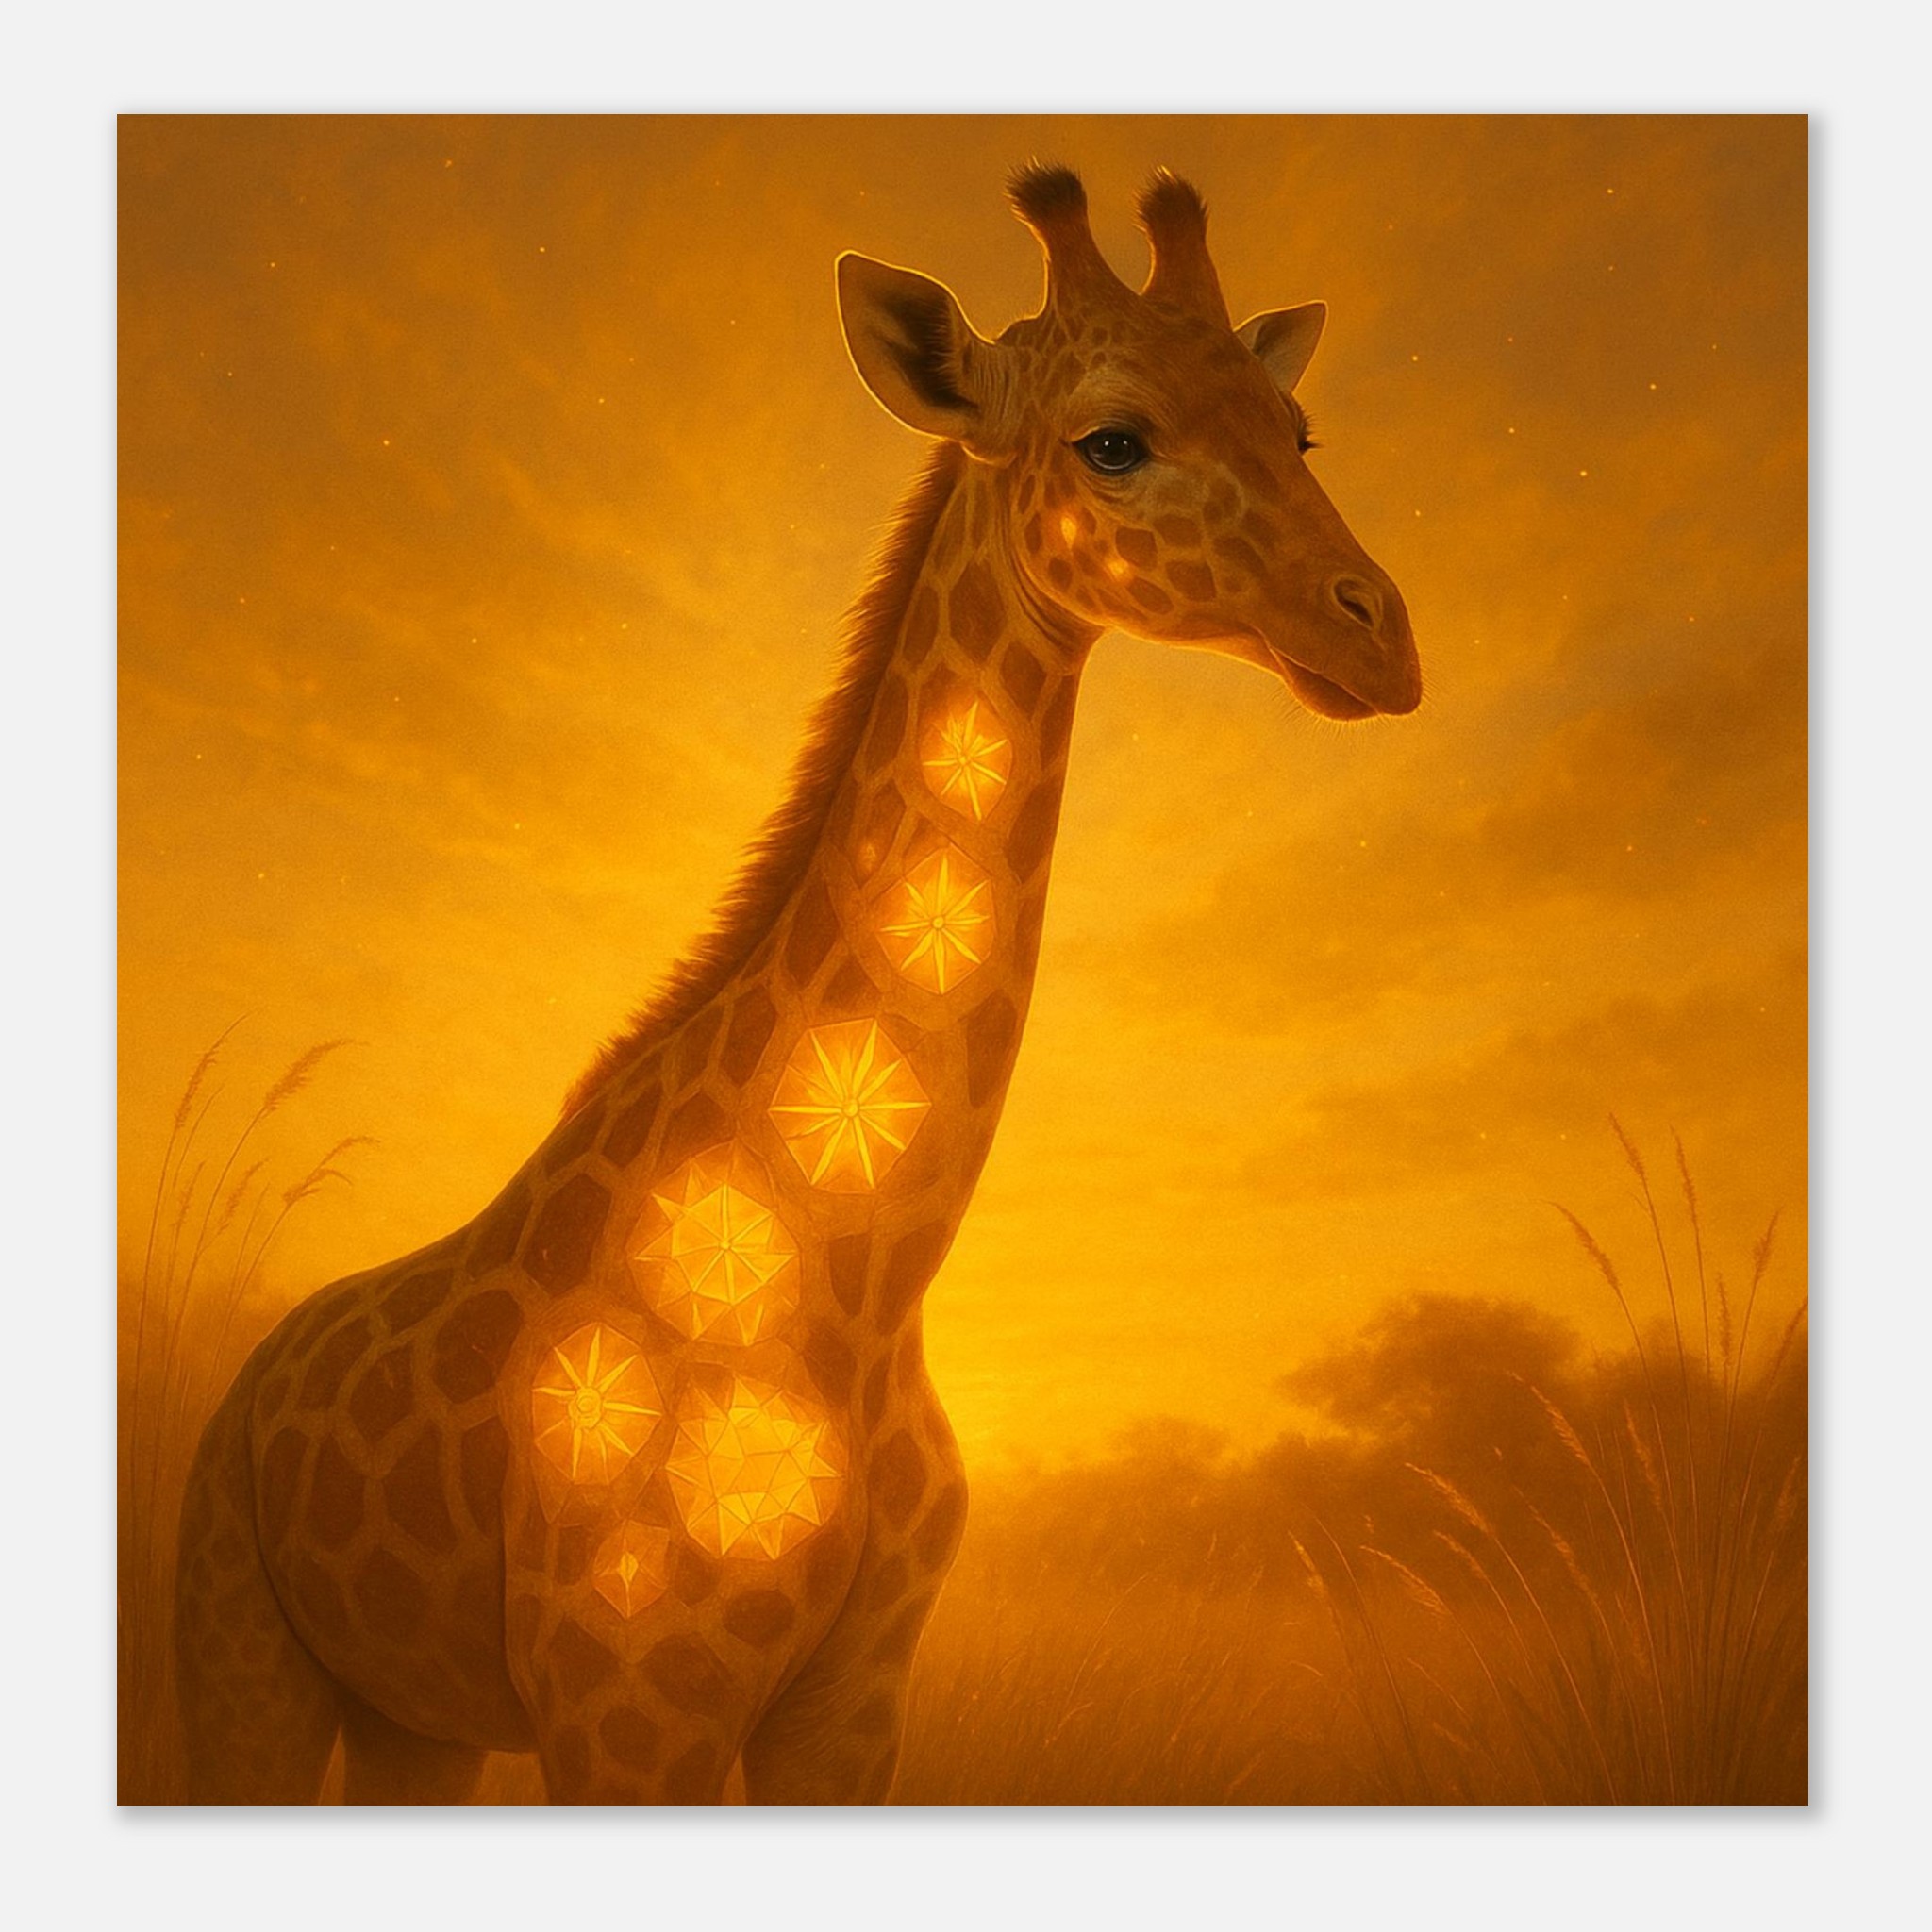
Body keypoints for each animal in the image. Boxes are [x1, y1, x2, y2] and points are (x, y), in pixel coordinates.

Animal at [172, 164, 1420, 1805]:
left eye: (1299, 430)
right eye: (1112, 440)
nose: (1381, 638)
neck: (859, 1286)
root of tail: (244, 1385)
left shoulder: (852, 1705)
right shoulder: (628, 1705)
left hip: (412, 1717)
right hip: (243, 1647)